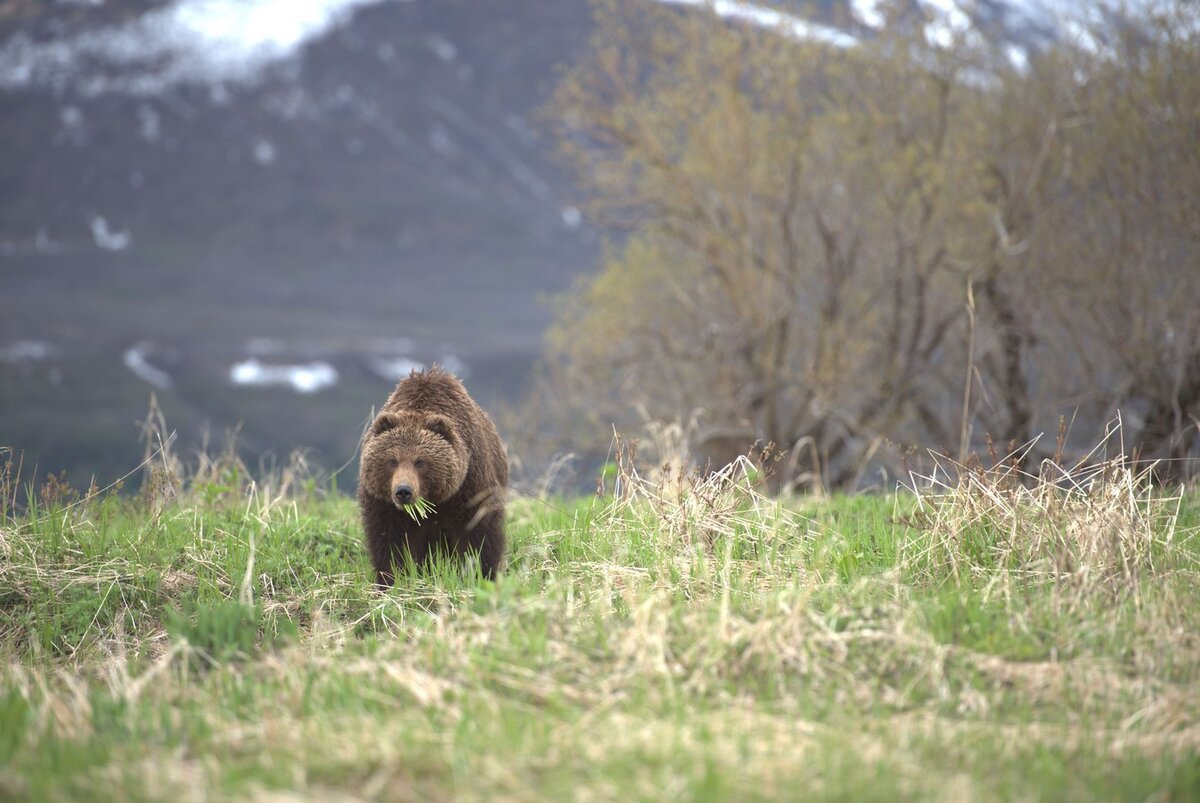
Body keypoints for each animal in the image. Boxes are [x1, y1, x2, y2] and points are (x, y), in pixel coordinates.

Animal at [355, 367, 506, 585]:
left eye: (420, 461)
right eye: (392, 461)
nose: (403, 491)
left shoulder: (468, 487)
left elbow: (479, 534)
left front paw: (481, 574)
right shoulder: (383, 504)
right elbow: (389, 542)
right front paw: (390, 579)